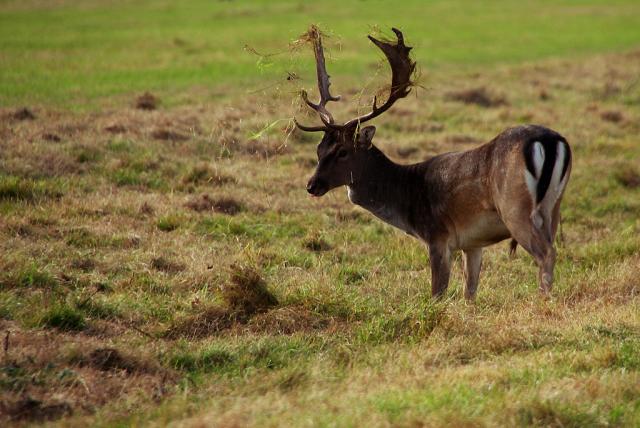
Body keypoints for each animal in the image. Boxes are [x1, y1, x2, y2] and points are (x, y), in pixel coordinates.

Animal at [294, 26, 568, 300]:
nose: (311, 185)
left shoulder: (438, 235)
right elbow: (470, 292)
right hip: (553, 208)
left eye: (342, 151)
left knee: (546, 253)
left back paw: (543, 301)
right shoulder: (472, 243)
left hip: (514, 206)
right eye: (319, 149)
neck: (408, 195)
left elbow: (437, 292)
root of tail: (550, 140)